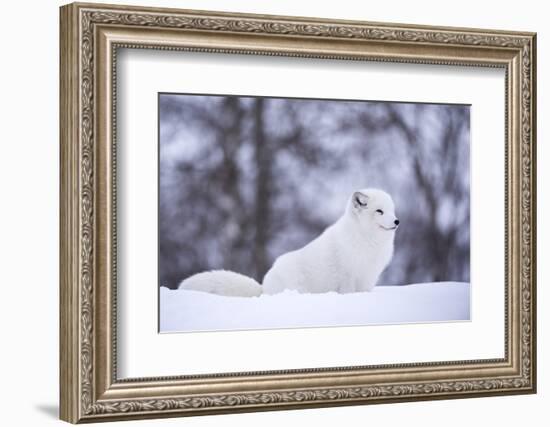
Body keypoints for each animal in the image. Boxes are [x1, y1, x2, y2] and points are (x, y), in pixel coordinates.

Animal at [179, 189, 398, 296]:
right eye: (379, 211)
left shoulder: (369, 278)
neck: (367, 239)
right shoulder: (347, 278)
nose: (397, 221)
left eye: (391, 210)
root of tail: (264, 288)